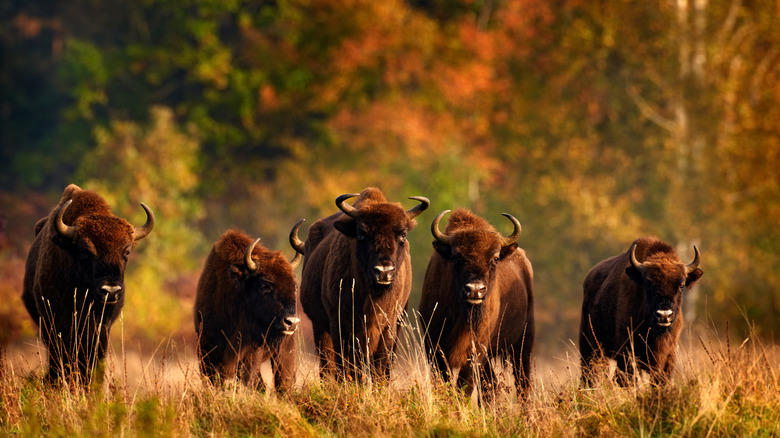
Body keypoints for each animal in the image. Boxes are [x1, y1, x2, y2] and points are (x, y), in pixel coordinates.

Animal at [195, 222, 304, 390]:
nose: (292, 322)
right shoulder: (206, 349)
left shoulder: (251, 351)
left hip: (284, 352)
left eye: (295, 286)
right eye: (265, 285)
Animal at [300, 186, 432, 382]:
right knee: (327, 364)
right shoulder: (340, 325)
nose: (384, 271)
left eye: (402, 234)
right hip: (319, 325)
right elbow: (345, 364)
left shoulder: (389, 327)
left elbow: (380, 366)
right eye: (361, 233)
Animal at [420, 210, 536, 400]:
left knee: (522, 384)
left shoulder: (476, 350)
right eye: (455, 257)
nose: (475, 290)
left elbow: (464, 385)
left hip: (523, 343)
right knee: (491, 385)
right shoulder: (434, 345)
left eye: (495, 258)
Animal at [576, 238, 704, 384]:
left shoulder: (668, 356)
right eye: (647, 284)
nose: (664, 315)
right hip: (590, 346)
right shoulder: (627, 352)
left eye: (682, 285)